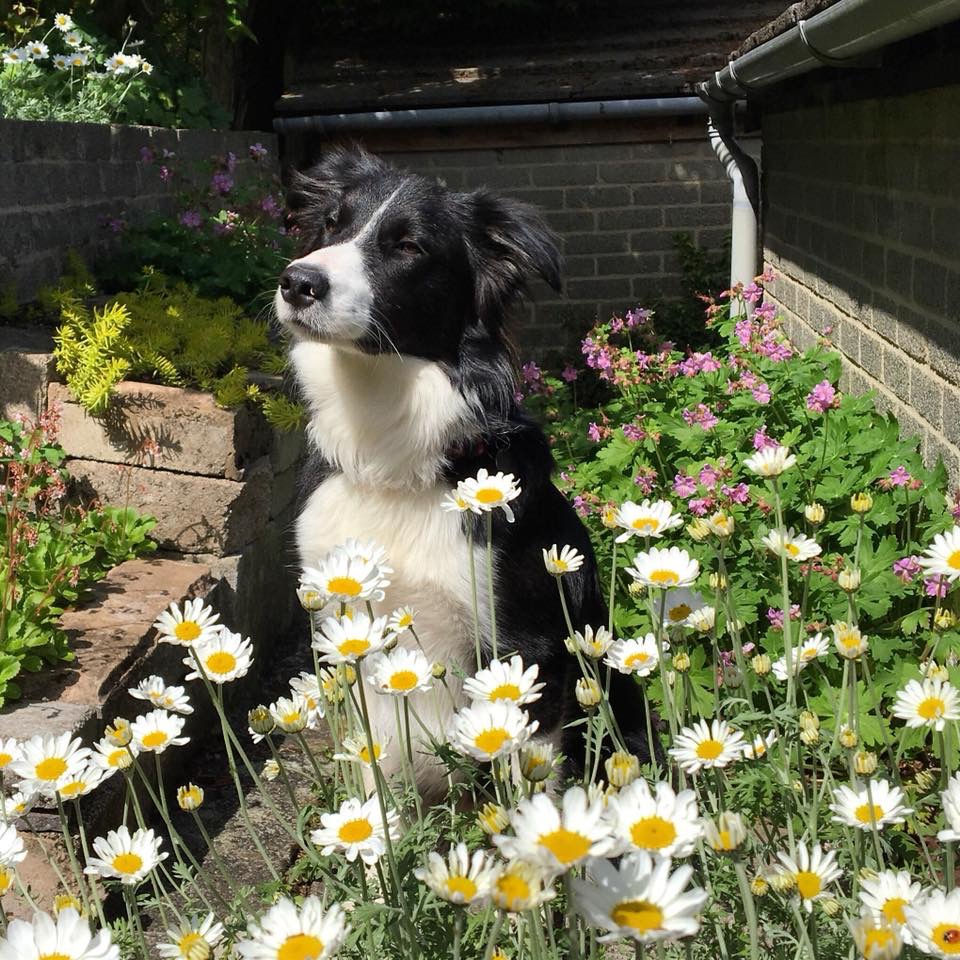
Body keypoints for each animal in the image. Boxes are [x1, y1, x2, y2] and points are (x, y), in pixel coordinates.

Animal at [278, 146, 652, 792]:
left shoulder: (527, 647)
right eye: (331, 225)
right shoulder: (341, 629)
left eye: (409, 246)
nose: (297, 282)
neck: (389, 454)